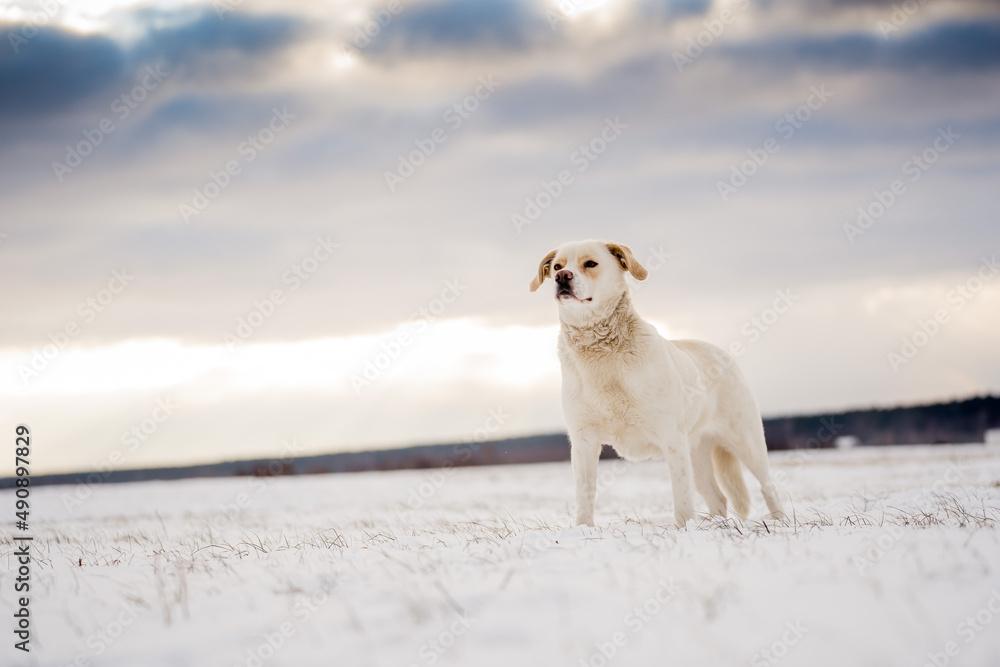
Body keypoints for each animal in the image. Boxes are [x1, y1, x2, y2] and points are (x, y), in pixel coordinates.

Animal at [532, 240, 788, 528]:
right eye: (557, 266)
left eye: (590, 264)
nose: (562, 277)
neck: (600, 350)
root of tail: (720, 351)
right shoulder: (584, 441)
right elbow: (585, 496)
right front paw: (583, 530)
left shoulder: (671, 440)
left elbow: (682, 500)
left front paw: (684, 529)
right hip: (696, 454)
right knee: (718, 498)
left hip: (746, 443)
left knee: (768, 486)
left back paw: (779, 521)